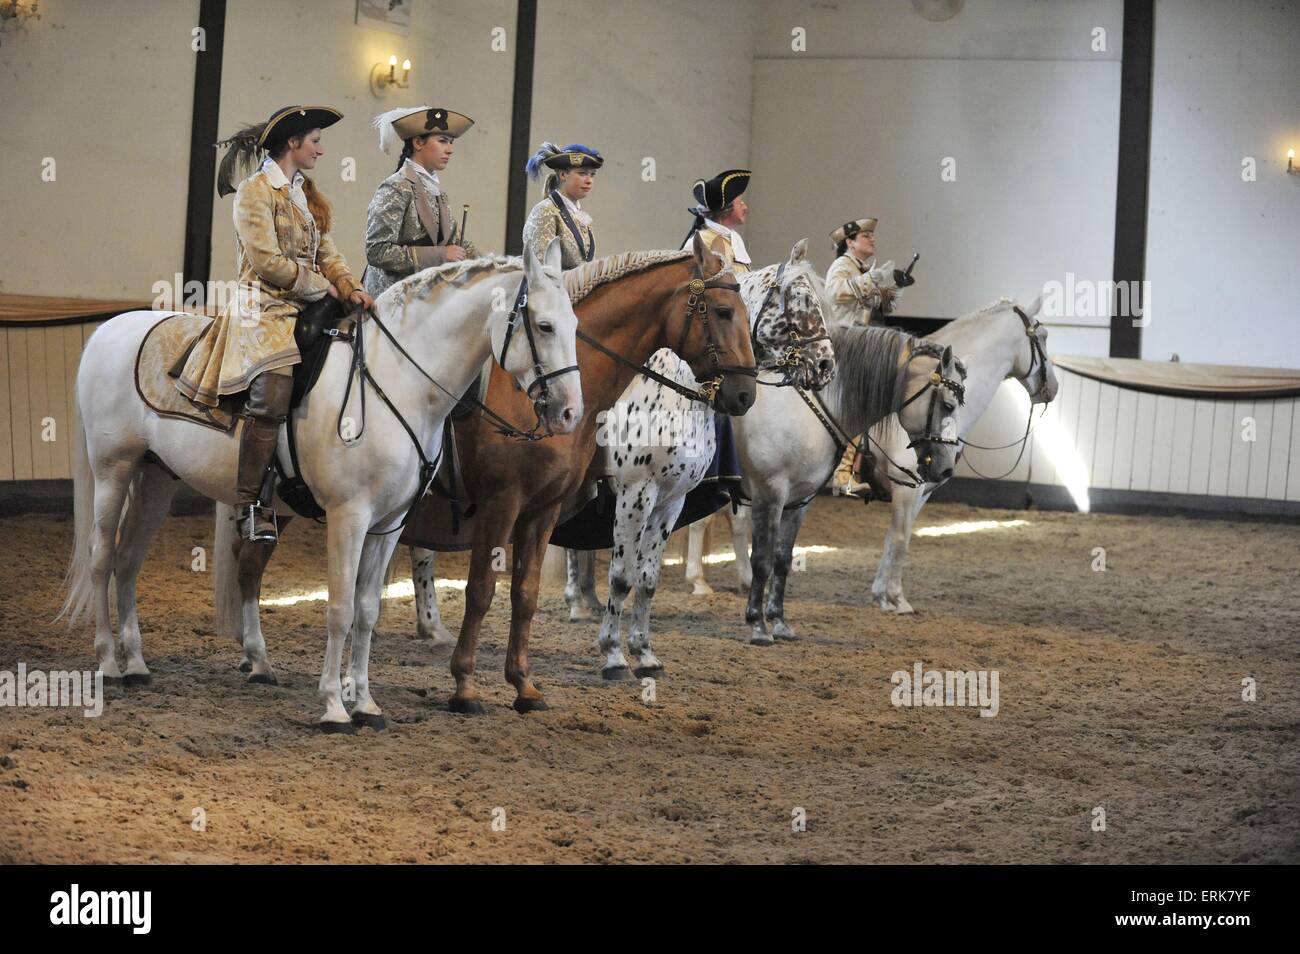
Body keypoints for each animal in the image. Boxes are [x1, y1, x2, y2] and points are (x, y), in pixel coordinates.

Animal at [59, 243, 579, 738]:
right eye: (544, 325)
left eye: (575, 323)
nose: (570, 413)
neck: (397, 380)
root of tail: (111, 330)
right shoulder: (350, 518)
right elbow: (339, 609)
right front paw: (333, 708)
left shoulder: (389, 525)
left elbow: (367, 611)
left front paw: (366, 705)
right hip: (113, 471)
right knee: (102, 559)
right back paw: (109, 664)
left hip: (155, 480)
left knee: (128, 562)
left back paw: (138, 665)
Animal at [733, 324, 967, 647]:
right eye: (948, 405)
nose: (946, 467)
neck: (806, 411)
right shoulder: (769, 494)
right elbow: (763, 560)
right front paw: (758, 625)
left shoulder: (798, 501)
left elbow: (782, 560)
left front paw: (779, 622)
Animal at [868, 295, 1060, 616]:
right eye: (1043, 336)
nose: (1054, 388)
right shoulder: (906, 487)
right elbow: (900, 539)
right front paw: (896, 598)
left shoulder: (922, 491)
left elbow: (894, 537)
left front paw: (883, 595)